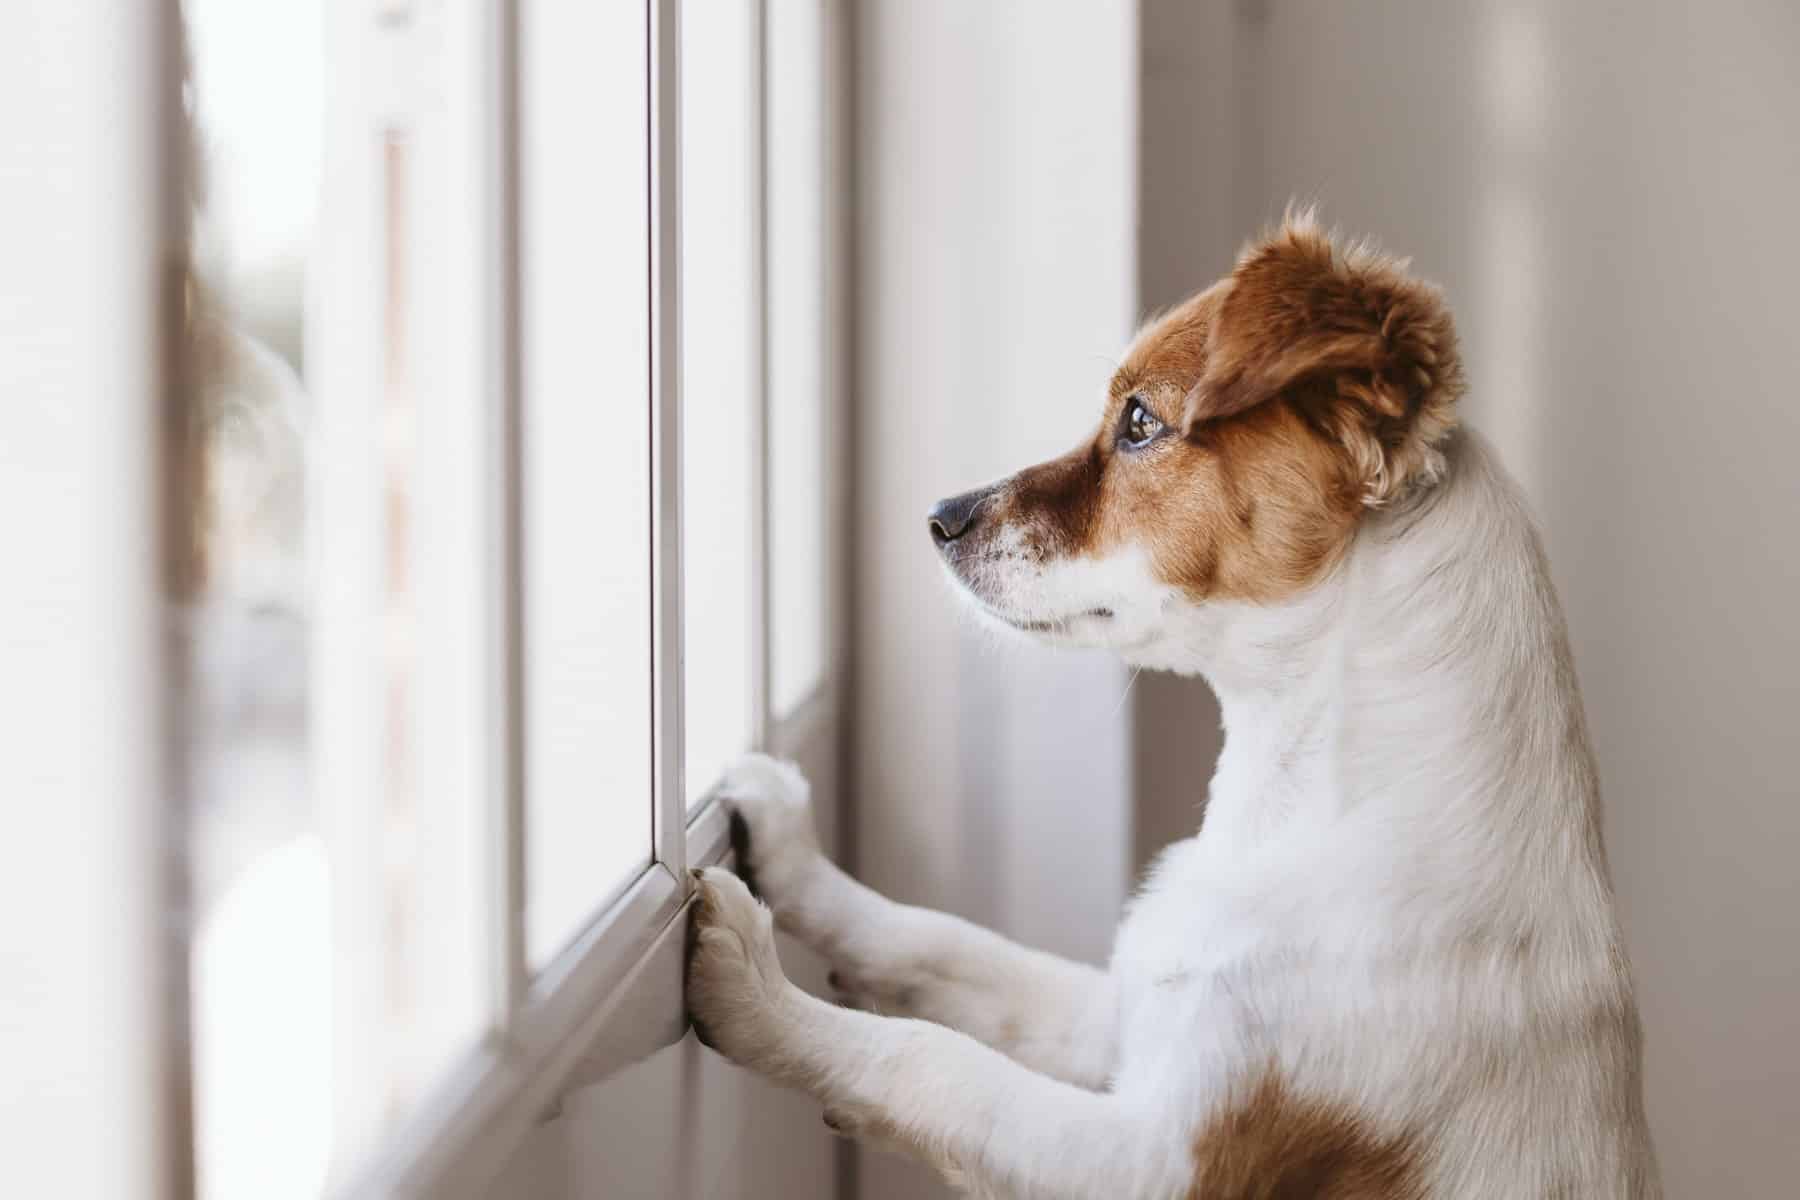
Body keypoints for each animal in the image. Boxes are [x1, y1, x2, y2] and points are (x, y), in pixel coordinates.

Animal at [684, 215, 1656, 1200]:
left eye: (1141, 423)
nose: (939, 517)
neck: (1302, 806)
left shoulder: (1159, 1160)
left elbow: (932, 1062)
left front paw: (758, 991)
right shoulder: (1122, 1016)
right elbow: (939, 942)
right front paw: (792, 852)